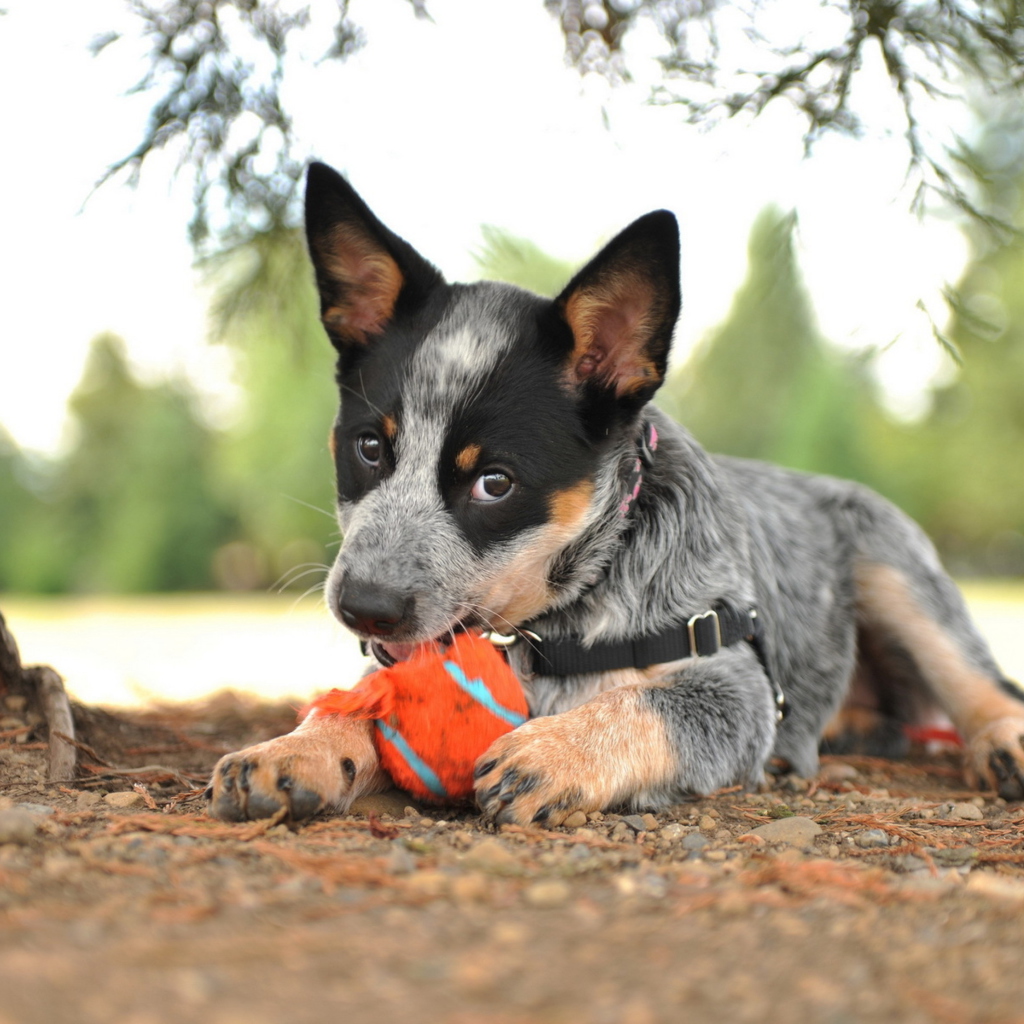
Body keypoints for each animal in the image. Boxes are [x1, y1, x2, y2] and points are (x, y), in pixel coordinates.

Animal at [205, 163, 1024, 827]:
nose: (363, 605)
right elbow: (360, 700)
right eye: (370, 447)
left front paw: (556, 753)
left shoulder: (735, 687)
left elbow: (648, 703)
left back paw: (1003, 742)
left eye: (494, 482)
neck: (549, 629)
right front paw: (297, 748)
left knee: (980, 681)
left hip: (895, 569)